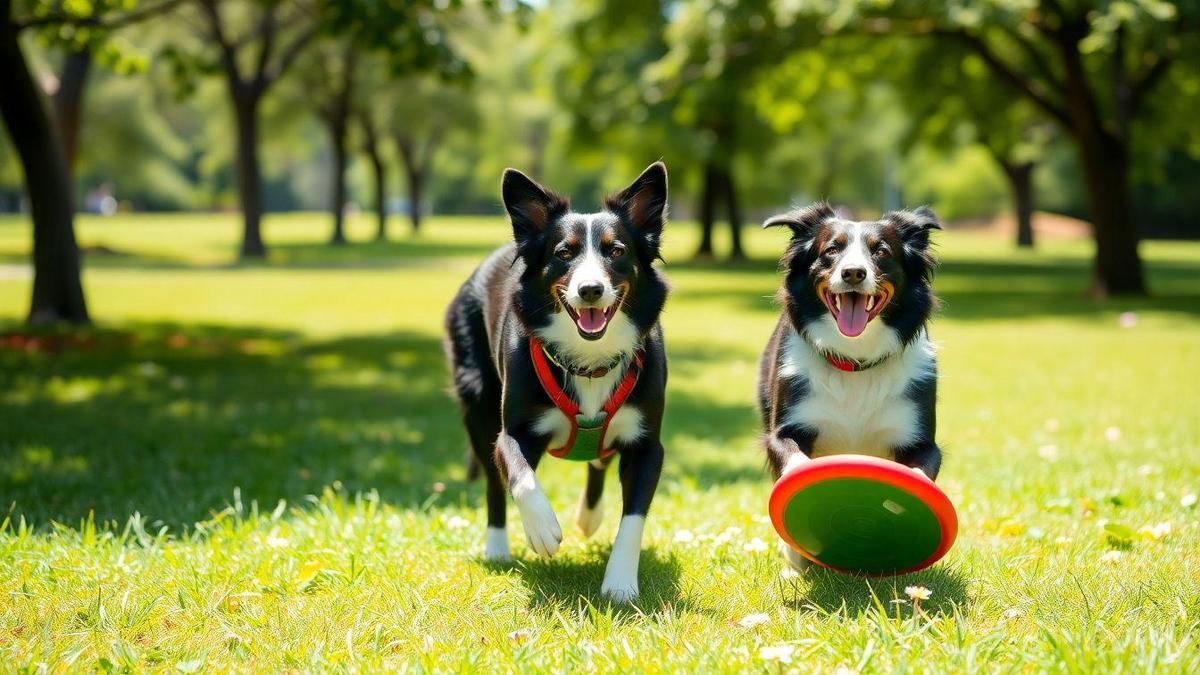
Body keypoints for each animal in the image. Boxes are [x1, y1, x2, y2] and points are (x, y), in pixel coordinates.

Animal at [446, 162, 672, 598]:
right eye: (563, 253)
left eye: (616, 251)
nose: (590, 289)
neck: (589, 362)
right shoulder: (513, 431)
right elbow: (519, 473)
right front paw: (543, 530)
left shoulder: (647, 443)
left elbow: (634, 516)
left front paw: (620, 582)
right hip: (477, 400)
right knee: (494, 481)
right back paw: (497, 547)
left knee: (599, 460)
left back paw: (589, 515)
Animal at [758, 200, 945, 566]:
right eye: (831, 250)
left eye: (881, 251)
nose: (854, 273)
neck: (854, 363)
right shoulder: (783, 431)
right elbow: (793, 462)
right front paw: (795, 553)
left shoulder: (922, 441)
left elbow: (921, 471)